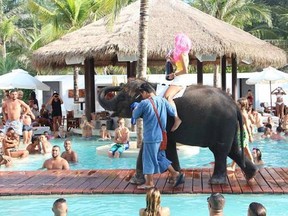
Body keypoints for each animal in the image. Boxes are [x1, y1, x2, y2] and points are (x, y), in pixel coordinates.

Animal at [98, 79, 258, 184]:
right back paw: (251, 175)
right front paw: (176, 178)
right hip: (228, 126)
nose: (119, 84)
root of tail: (235, 105)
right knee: (232, 149)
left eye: (122, 97)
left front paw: (135, 182)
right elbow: (168, 144)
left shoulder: (163, 118)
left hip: (223, 123)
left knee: (220, 150)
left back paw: (216, 182)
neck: (150, 83)